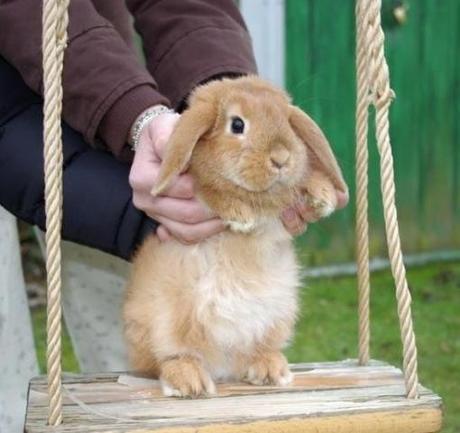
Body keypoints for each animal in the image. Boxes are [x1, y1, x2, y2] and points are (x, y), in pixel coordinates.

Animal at [124, 75, 346, 398]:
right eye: (237, 125)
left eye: (287, 121)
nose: (281, 158)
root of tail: (221, 364)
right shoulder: (199, 185)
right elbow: (207, 187)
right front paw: (240, 215)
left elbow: (302, 182)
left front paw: (322, 197)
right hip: (163, 321)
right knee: (169, 358)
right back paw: (189, 382)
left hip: (277, 315)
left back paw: (271, 369)